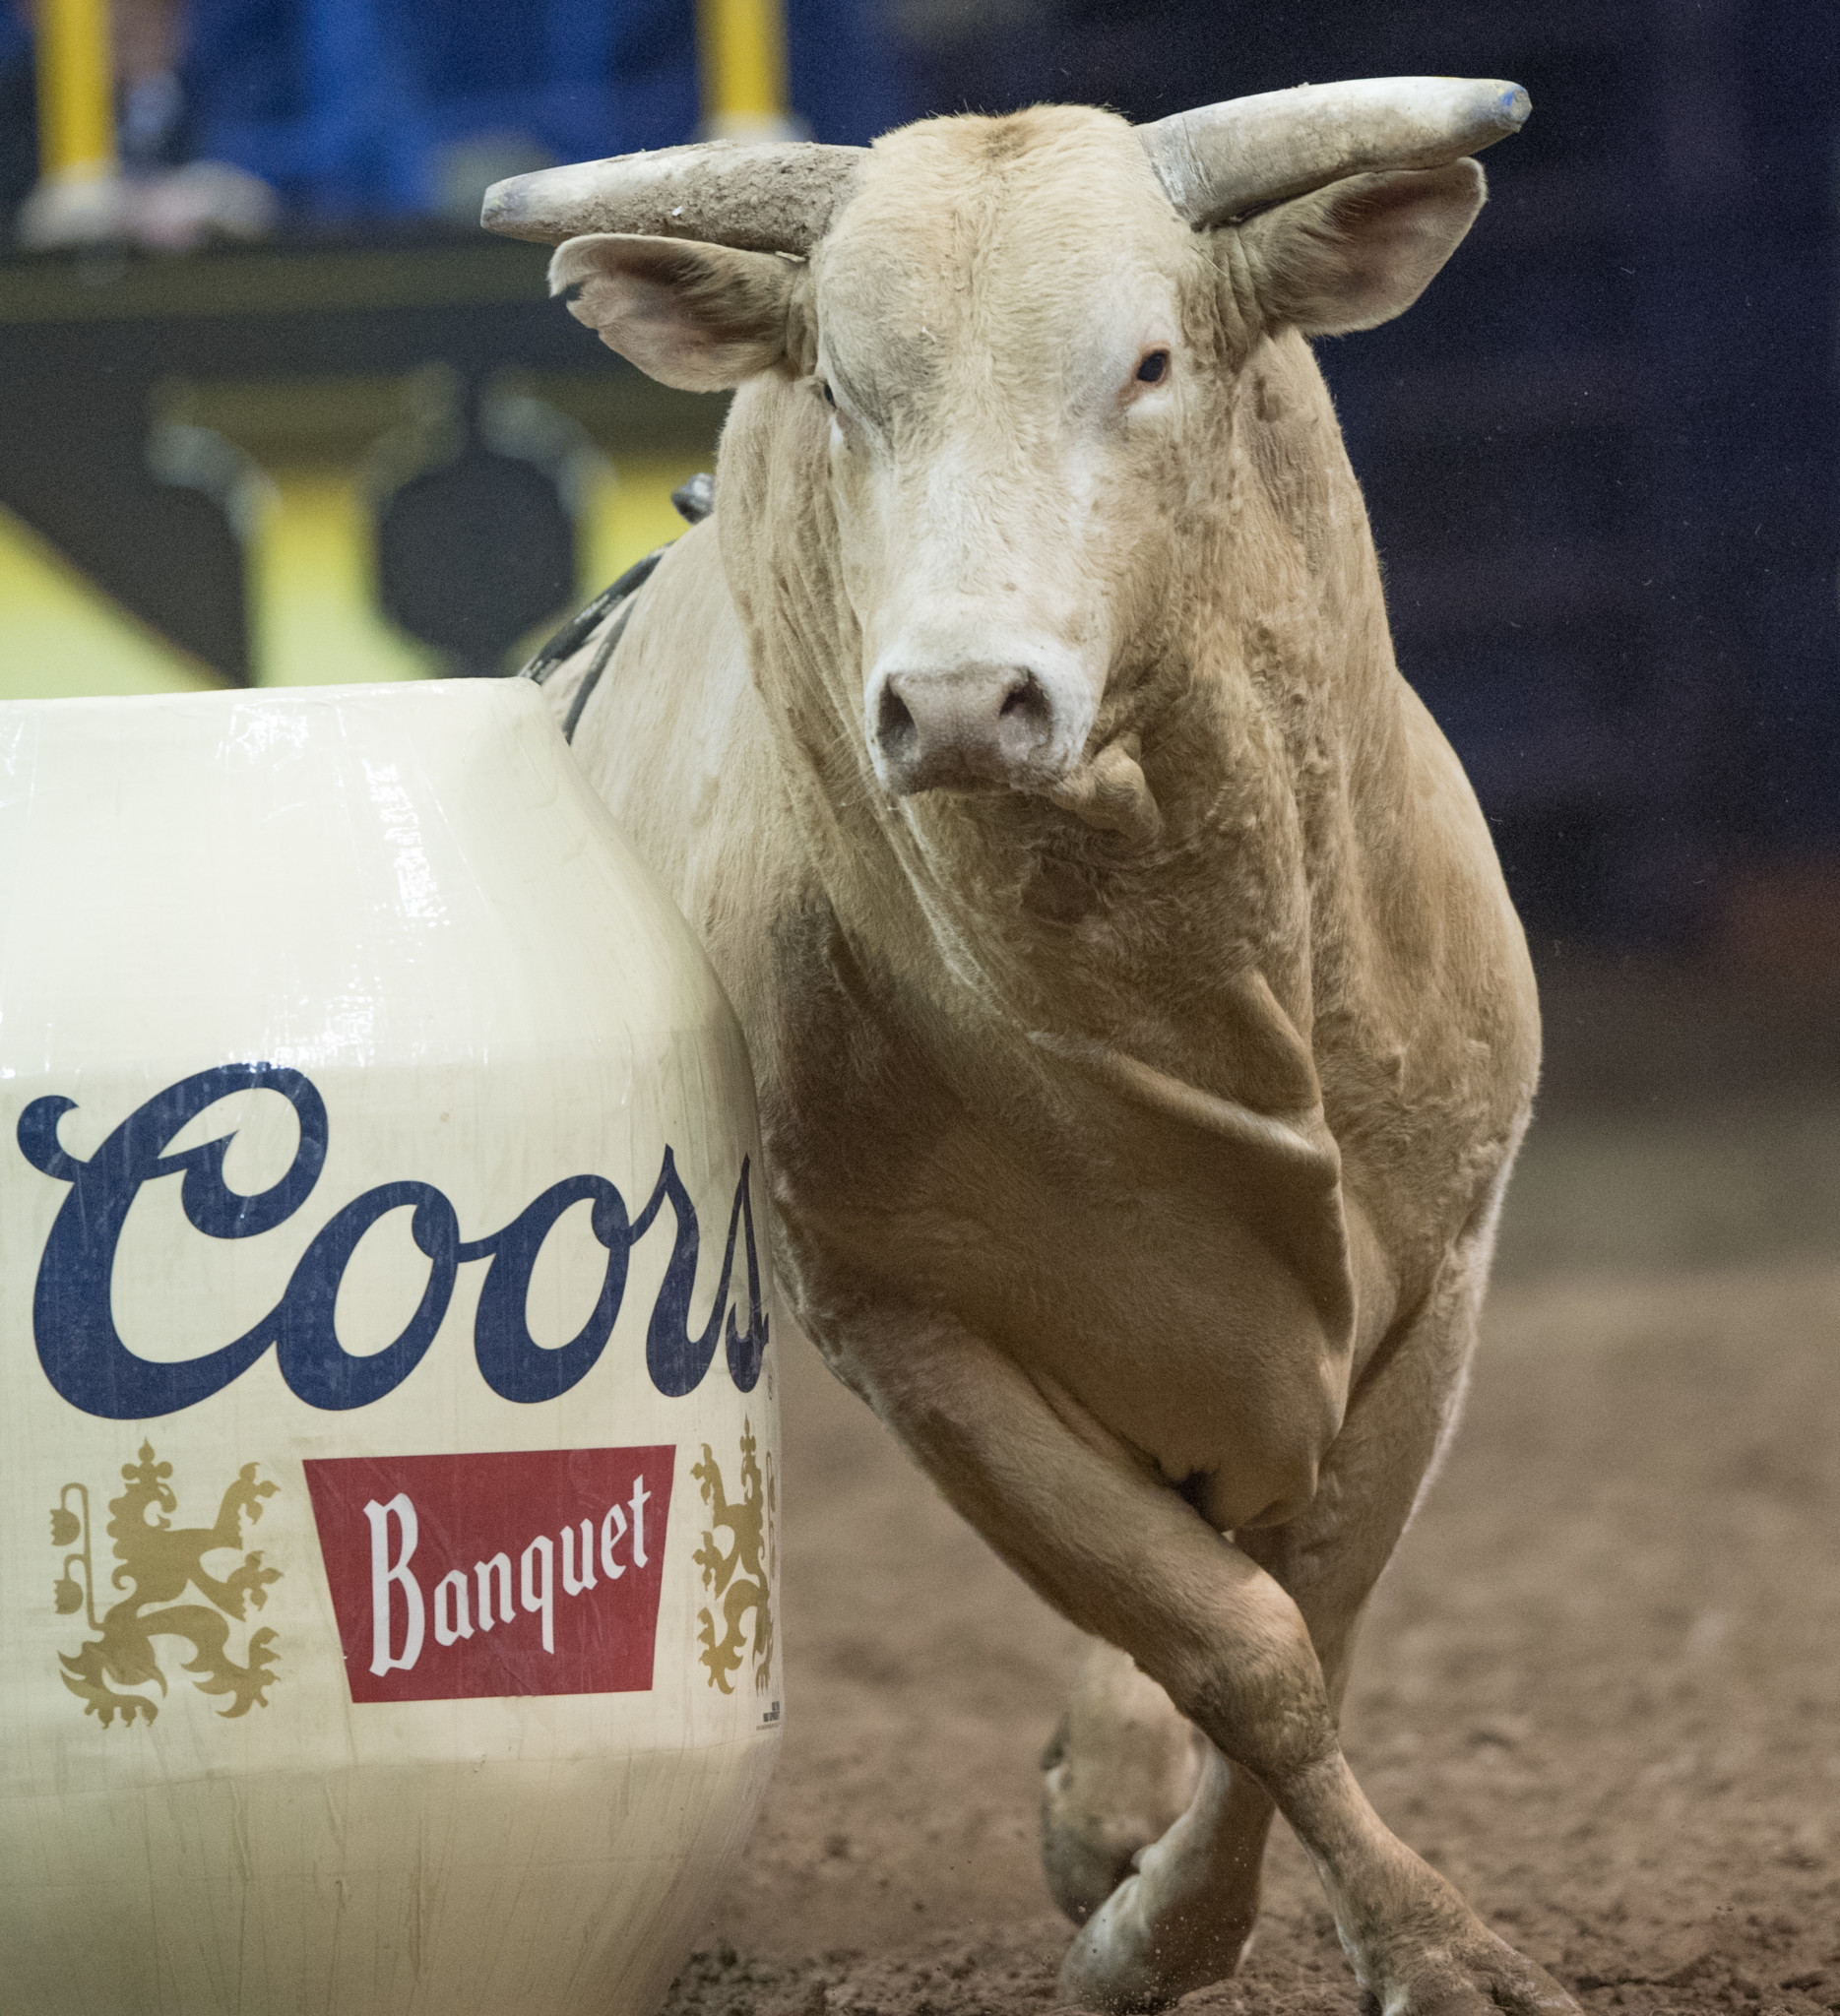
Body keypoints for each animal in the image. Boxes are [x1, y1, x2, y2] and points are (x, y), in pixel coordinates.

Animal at [484, 76, 1571, 2016]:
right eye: (843, 387)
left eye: (1147, 361)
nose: (959, 703)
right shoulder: (909, 1334)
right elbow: (1245, 1648)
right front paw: (1208, 1936)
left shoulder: (1440, 1268)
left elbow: (1314, 1611)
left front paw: (1371, 1930)